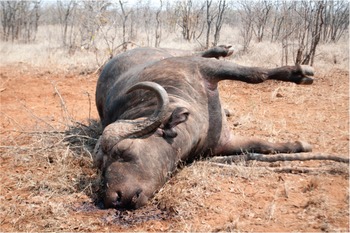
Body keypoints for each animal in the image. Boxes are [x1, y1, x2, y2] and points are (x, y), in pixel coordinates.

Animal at [93, 46, 314, 209]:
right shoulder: (222, 144)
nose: (114, 198)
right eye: (102, 167)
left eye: (123, 151)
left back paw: (221, 50)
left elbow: (255, 74)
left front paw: (299, 73)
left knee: (198, 52)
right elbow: (260, 144)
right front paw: (299, 144)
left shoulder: (204, 68)